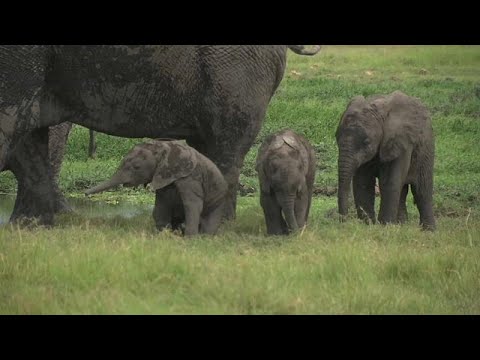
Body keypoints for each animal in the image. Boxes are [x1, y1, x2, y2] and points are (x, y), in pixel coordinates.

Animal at [85, 140, 228, 236]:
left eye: (136, 167)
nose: (85, 193)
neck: (163, 147)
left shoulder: (190, 177)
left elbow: (192, 204)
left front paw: (190, 240)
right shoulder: (162, 177)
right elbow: (161, 204)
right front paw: (162, 235)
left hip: (219, 197)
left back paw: (205, 237)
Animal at [338, 90, 436, 231]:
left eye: (366, 142)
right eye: (336, 138)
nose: (343, 222)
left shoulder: (401, 142)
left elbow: (389, 182)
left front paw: (385, 227)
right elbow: (363, 183)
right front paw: (368, 226)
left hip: (427, 147)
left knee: (422, 190)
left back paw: (429, 231)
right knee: (403, 190)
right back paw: (401, 226)